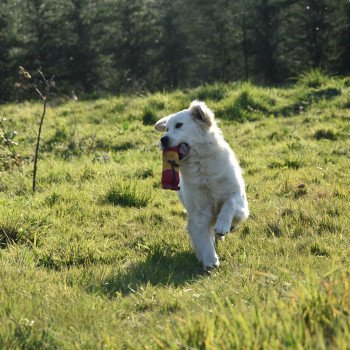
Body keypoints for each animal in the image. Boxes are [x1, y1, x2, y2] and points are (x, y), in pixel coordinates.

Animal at [154, 100, 247, 270]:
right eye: (167, 129)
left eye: (179, 125)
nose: (163, 140)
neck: (200, 166)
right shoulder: (199, 212)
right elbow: (202, 238)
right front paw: (210, 261)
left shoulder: (240, 202)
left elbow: (229, 203)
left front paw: (223, 225)